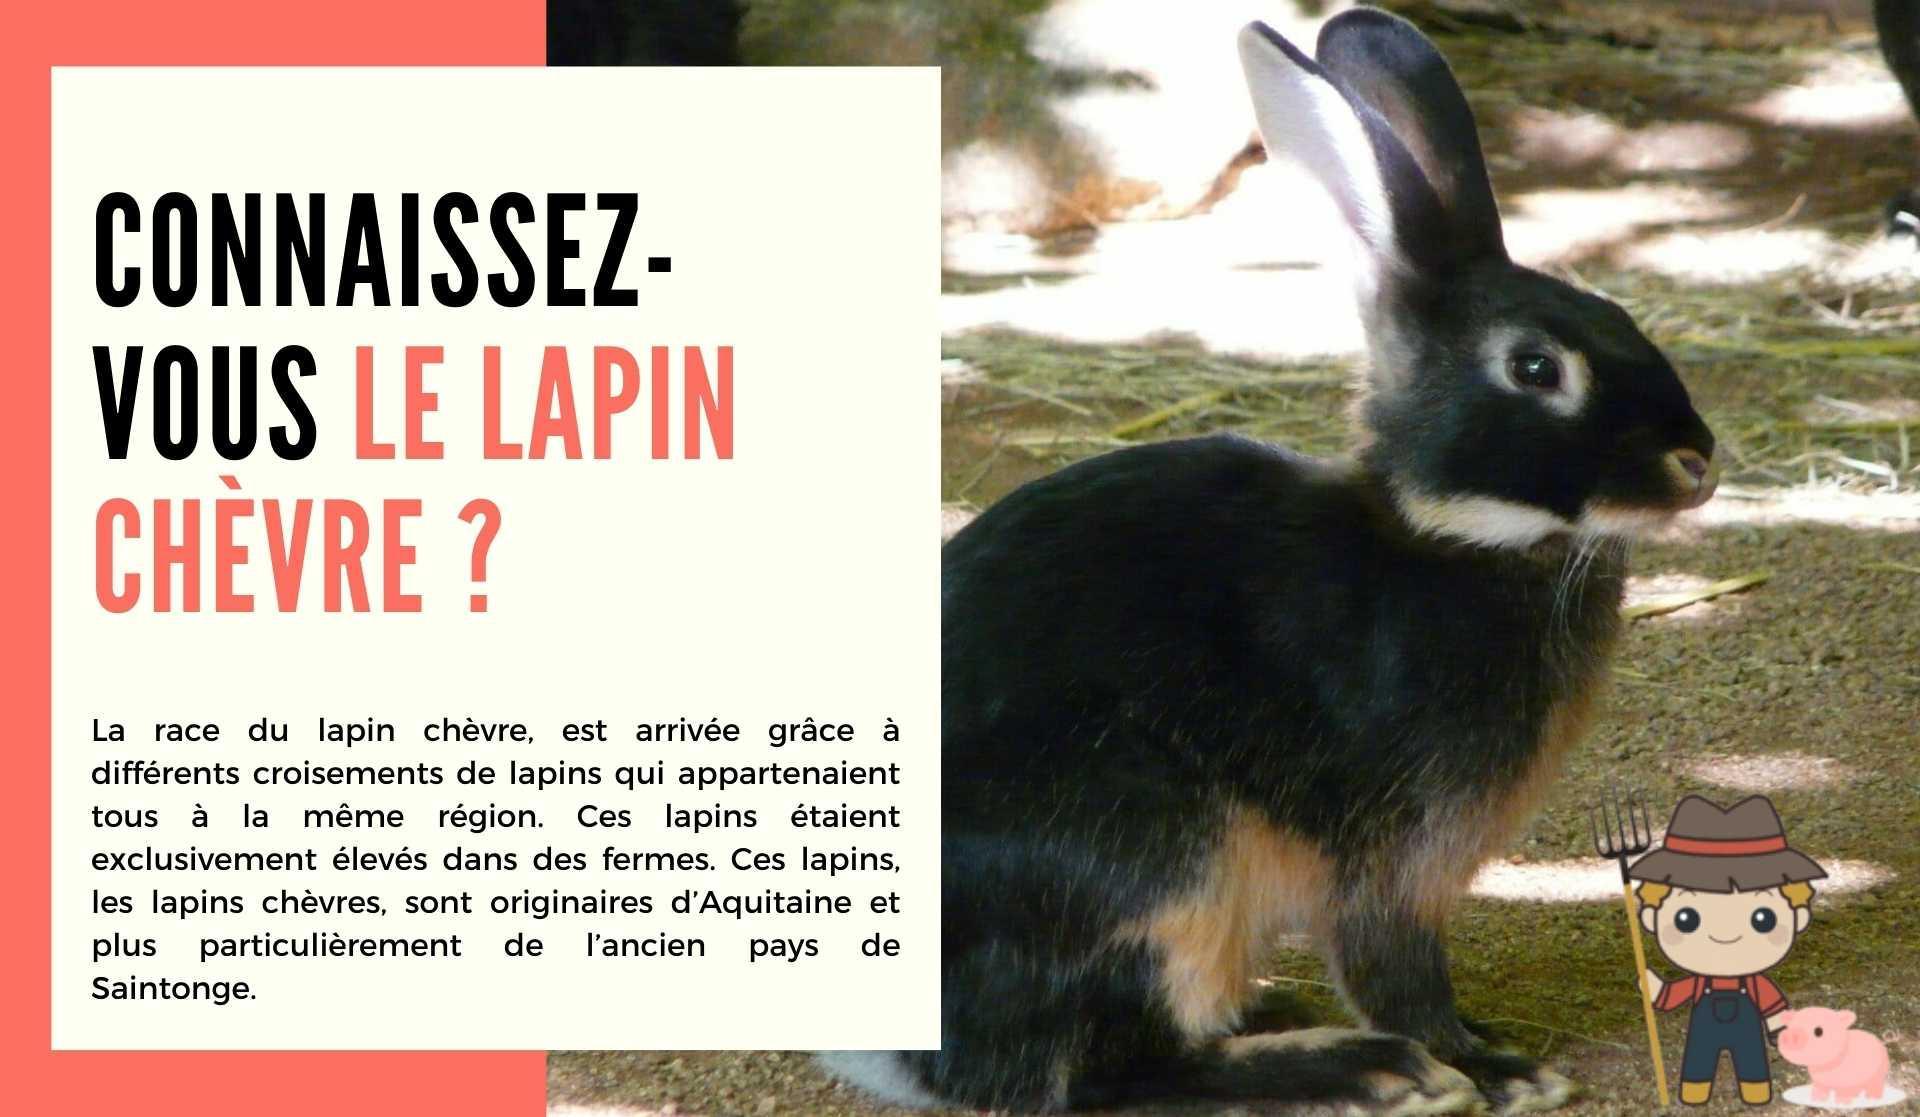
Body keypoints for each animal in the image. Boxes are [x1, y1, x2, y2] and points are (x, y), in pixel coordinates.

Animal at [824, 7, 1717, 1115]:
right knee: (1103, 1072)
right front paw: (1491, 1067)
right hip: (1158, 858)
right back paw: (1359, 1067)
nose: (1698, 458)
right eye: (1535, 366)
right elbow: (1398, 971)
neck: (1448, 534)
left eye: (1622, 317)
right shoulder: (1394, 859)